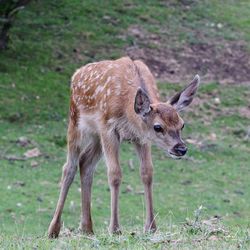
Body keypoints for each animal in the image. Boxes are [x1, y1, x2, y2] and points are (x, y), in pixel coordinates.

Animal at [47, 56, 199, 238]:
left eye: (182, 124)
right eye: (158, 127)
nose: (181, 149)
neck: (127, 110)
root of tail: (76, 74)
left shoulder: (141, 137)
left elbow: (147, 173)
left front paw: (151, 227)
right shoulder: (108, 127)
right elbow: (115, 174)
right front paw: (115, 229)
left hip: (96, 136)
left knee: (85, 163)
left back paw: (87, 228)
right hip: (75, 121)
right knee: (69, 167)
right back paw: (53, 229)